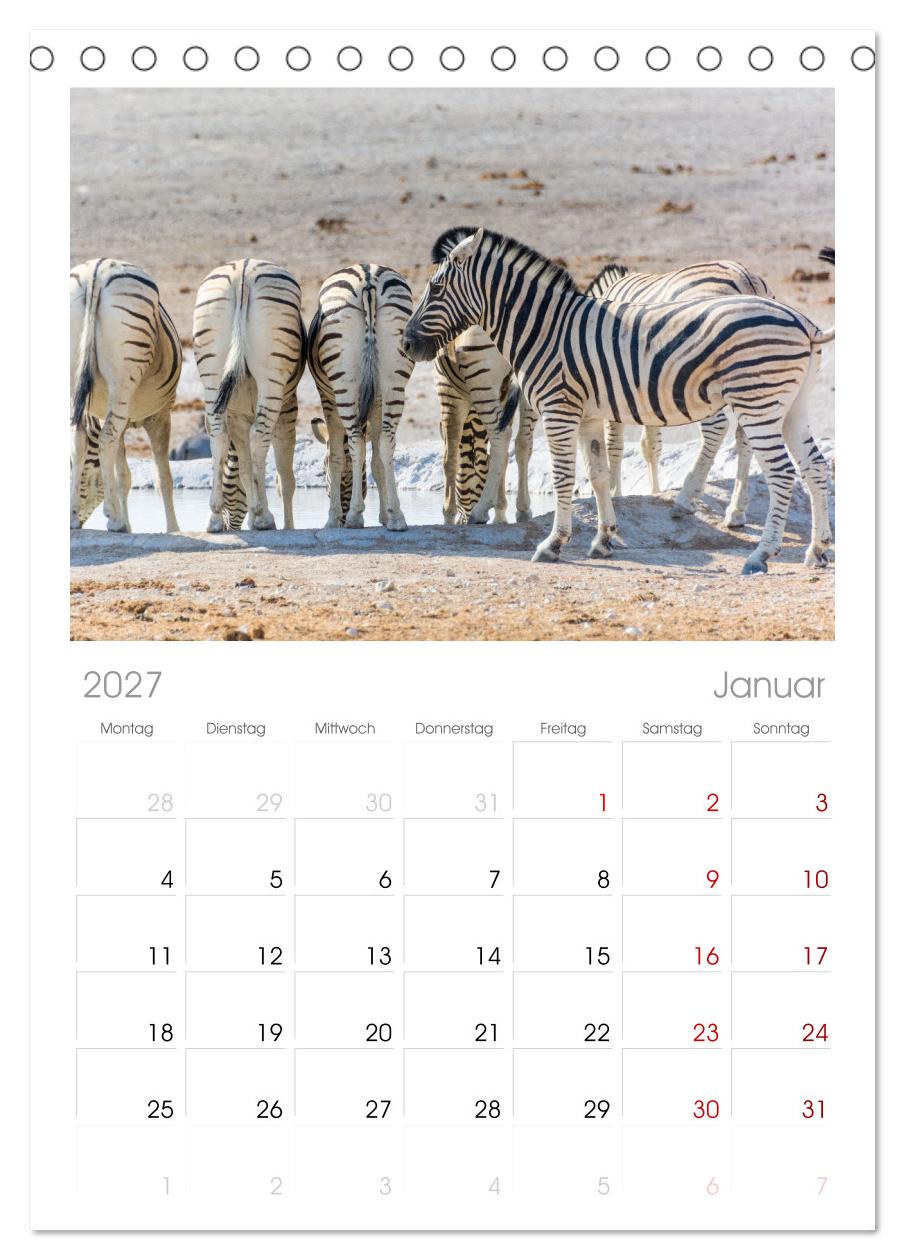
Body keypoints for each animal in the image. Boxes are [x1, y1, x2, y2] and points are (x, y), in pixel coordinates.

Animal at [70, 259, 181, 532]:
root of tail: (97, 271)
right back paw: (113, 519)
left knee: (77, 440)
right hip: (122, 378)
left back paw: (73, 517)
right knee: (105, 439)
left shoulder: (118, 418)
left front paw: (129, 525)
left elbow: (123, 476)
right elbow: (163, 477)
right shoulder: (159, 415)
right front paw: (173, 529)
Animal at [192, 259, 306, 532]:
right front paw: (270, 519)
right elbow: (284, 476)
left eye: (230, 493)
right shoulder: (287, 408)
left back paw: (213, 518)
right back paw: (263, 517)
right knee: (259, 436)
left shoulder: (237, 415)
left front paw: (255, 515)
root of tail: (243, 271)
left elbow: (245, 467)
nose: (229, 527)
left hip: (212, 372)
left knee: (218, 435)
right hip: (272, 379)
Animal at [308, 264, 413, 530]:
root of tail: (368, 276)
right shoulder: (376, 400)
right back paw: (397, 517)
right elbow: (375, 460)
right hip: (394, 378)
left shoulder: (327, 397)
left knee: (355, 440)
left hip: (344, 382)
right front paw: (385, 515)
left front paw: (332, 519)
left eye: (321, 469)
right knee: (387, 441)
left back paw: (356, 516)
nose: (342, 517)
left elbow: (337, 456)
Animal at [403, 227, 834, 574]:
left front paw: (553, 544)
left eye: (435, 288)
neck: (546, 328)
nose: (406, 344)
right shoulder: (589, 415)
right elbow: (597, 474)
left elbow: (564, 477)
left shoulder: (560, 411)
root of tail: (803, 322)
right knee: (814, 467)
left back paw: (759, 555)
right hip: (792, 408)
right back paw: (817, 550)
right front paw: (604, 539)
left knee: (782, 473)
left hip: (758, 405)